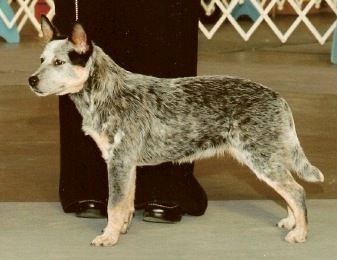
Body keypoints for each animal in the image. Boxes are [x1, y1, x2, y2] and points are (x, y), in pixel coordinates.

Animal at [28, 15, 322, 247]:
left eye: (58, 63)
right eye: (41, 59)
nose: (31, 80)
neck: (107, 94)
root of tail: (278, 98)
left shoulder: (118, 161)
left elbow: (114, 204)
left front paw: (108, 237)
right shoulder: (126, 164)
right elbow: (126, 203)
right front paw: (120, 230)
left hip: (261, 159)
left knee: (297, 191)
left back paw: (300, 233)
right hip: (267, 159)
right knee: (288, 191)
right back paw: (291, 222)